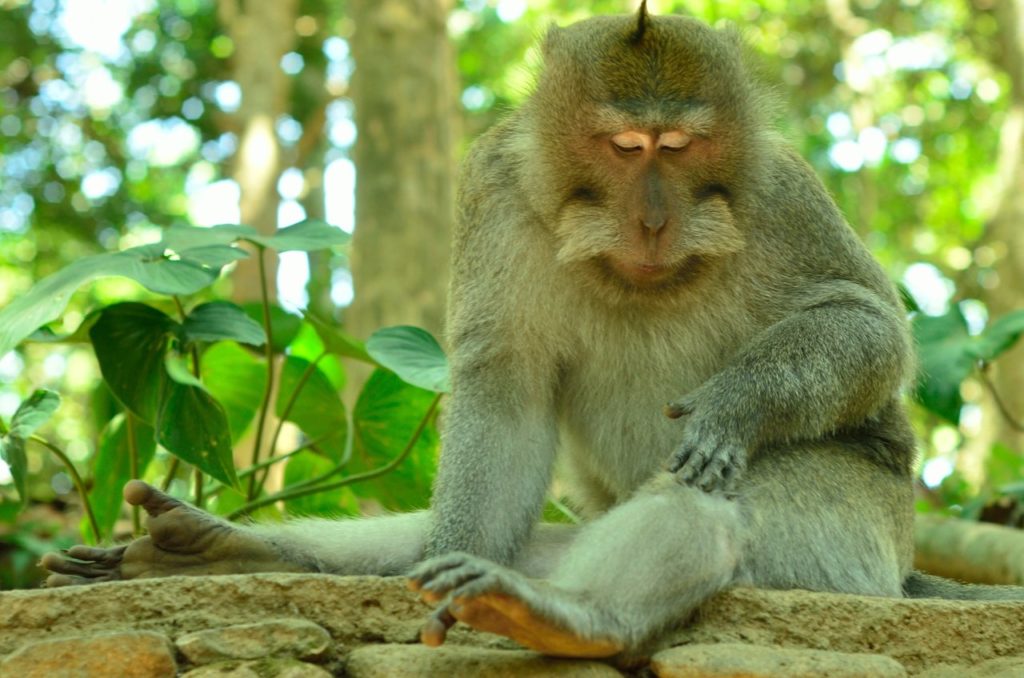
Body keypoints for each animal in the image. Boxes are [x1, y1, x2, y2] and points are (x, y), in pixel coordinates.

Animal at [42, 3, 1024, 661]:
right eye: (626, 148)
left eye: (681, 148)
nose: (656, 219)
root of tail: (902, 569)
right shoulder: (495, 192)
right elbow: (505, 390)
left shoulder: (778, 191)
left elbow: (866, 326)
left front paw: (732, 407)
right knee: (507, 540)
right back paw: (219, 545)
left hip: (853, 543)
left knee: (714, 504)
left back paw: (572, 615)